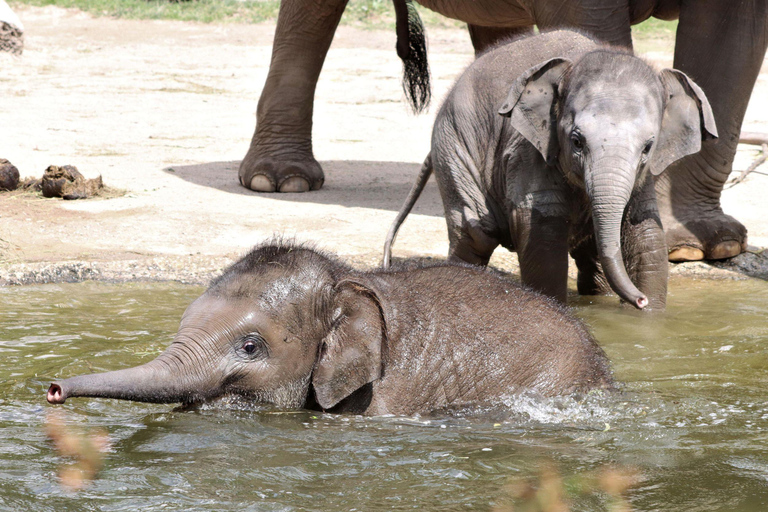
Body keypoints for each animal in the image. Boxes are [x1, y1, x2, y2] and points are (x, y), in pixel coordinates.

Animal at [388, 30, 716, 310]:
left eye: (648, 147)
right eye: (576, 141)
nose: (639, 300)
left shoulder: (643, 175)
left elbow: (646, 234)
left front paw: (650, 319)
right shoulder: (528, 149)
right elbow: (542, 232)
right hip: (453, 144)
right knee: (475, 233)